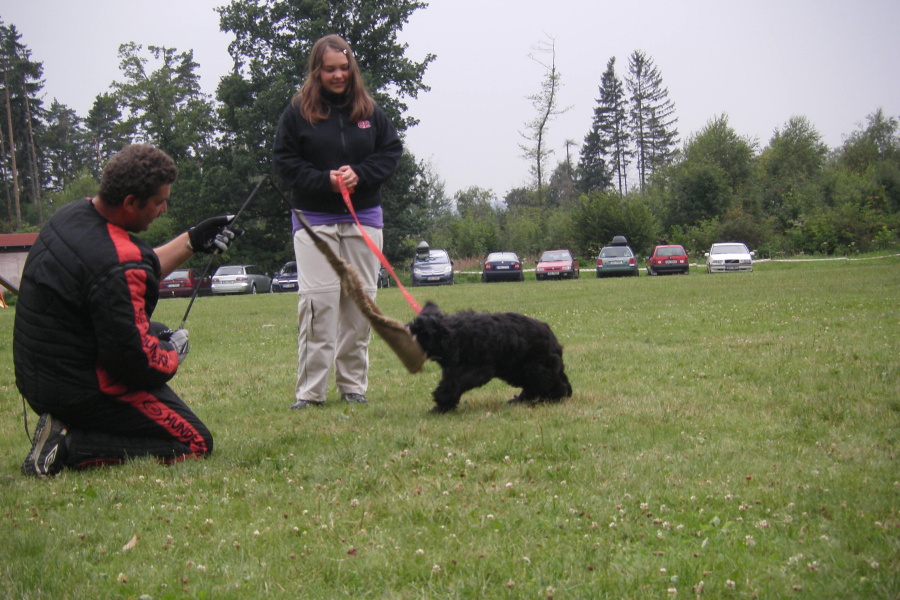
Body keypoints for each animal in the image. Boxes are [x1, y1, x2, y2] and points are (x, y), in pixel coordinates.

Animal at [406, 300, 572, 412]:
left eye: (420, 334)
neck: (455, 335)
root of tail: (553, 338)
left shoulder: (477, 370)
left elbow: (455, 383)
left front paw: (441, 400)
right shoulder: (452, 370)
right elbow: (450, 383)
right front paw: (442, 406)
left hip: (535, 367)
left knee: (552, 383)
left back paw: (553, 398)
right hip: (517, 369)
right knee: (532, 386)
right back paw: (520, 399)